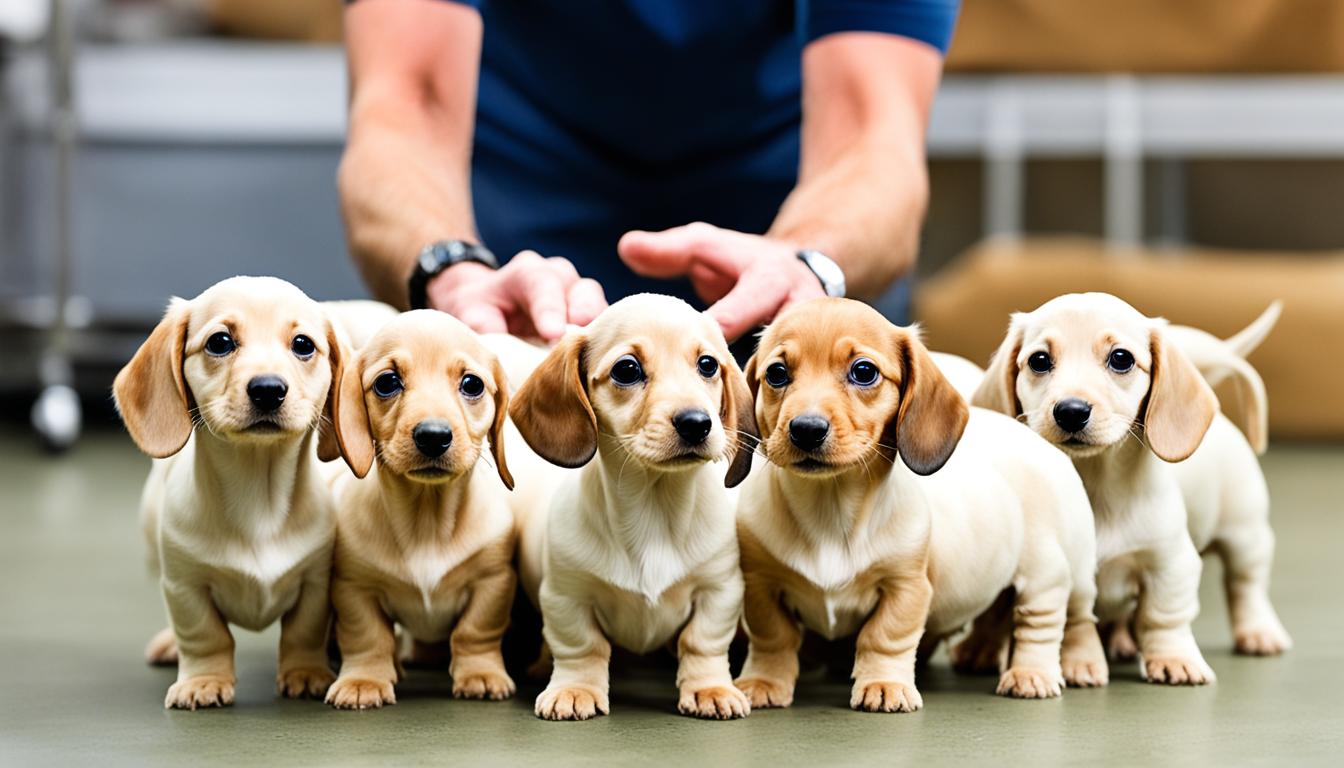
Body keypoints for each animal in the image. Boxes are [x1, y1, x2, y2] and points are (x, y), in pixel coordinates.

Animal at [113, 274, 344, 710]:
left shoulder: (316, 583)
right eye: (220, 342)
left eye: (303, 344)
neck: (258, 496)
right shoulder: (186, 586)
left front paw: (305, 673)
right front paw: (203, 681)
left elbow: (303, 632)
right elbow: (205, 635)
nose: (268, 389)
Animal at [319, 310, 518, 710]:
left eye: (472, 383)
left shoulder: (493, 581)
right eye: (387, 382)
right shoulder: (355, 589)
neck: (428, 522)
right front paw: (364, 680)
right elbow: (369, 637)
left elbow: (474, 631)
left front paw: (481, 674)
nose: (433, 436)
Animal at [505, 294, 758, 720]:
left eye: (708, 364)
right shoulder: (567, 597)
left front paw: (709, 688)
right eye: (627, 369)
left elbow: (702, 643)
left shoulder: (718, 591)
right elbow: (582, 648)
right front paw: (575, 689)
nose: (697, 423)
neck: (654, 510)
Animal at [736, 297, 1102, 710]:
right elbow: (774, 638)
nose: (806, 429)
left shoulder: (905, 587)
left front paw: (883, 684)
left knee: (1055, 623)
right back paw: (981, 652)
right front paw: (764, 681)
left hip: (1057, 572)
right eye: (777, 373)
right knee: (997, 613)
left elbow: (884, 637)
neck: (829, 510)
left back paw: (1046, 671)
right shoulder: (762, 586)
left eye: (863, 371)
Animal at [978, 293, 1290, 677]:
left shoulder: (1170, 563)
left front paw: (1174, 659)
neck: (1095, 489)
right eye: (1039, 360)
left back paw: (1259, 631)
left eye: (1121, 358)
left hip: (1245, 535)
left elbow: (1161, 617)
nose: (1071, 411)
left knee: (1245, 586)